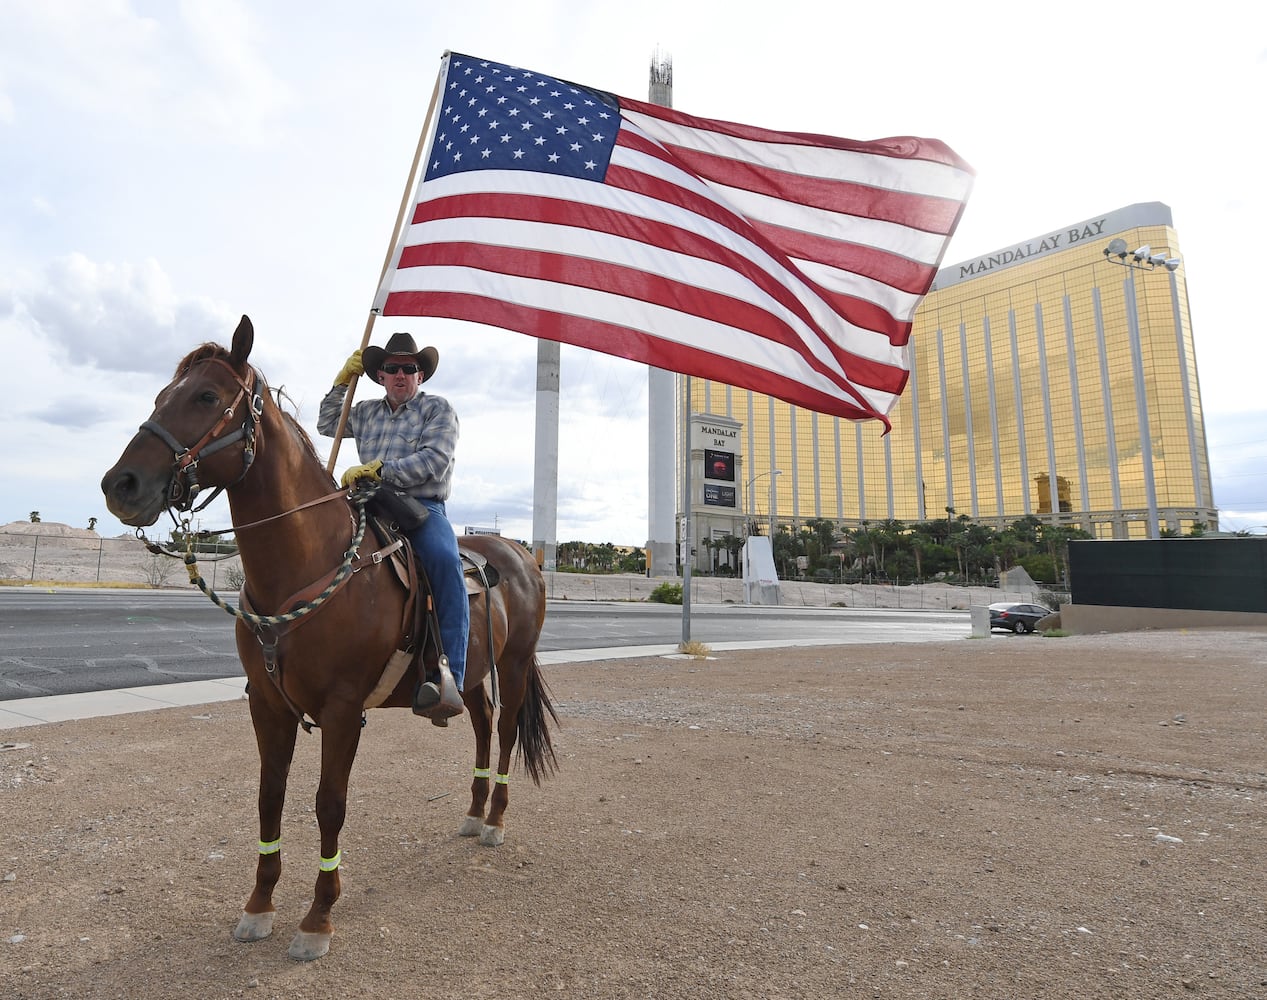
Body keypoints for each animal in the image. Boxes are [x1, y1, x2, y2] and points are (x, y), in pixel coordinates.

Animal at [106, 318, 562, 958]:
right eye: (159, 397)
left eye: (206, 397)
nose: (120, 485)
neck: (305, 564)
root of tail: (520, 555)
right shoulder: (267, 704)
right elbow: (269, 797)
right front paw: (258, 906)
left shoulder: (344, 709)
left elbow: (329, 804)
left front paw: (318, 917)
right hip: (471, 674)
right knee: (479, 722)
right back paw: (473, 813)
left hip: (516, 666)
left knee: (505, 732)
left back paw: (495, 820)